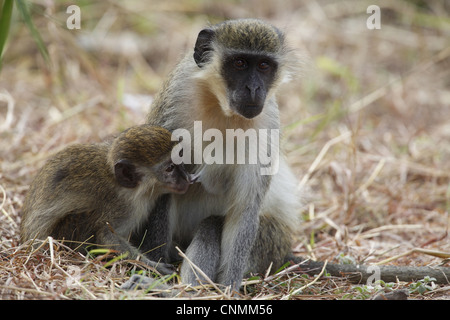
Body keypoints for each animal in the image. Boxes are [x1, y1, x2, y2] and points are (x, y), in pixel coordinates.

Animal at [20, 124, 193, 274]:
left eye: (180, 162)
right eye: (170, 168)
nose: (187, 178)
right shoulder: (123, 208)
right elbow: (106, 236)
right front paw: (152, 266)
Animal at [145, 18, 302, 292]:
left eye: (264, 65)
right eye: (239, 63)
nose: (254, 88)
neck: (221, 107)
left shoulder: (267, 123)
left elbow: (244, 209)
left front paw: (228, 289)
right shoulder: (175, 97)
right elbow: (162, 180)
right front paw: (156, 267)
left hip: (271, 240)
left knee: (212, 224)